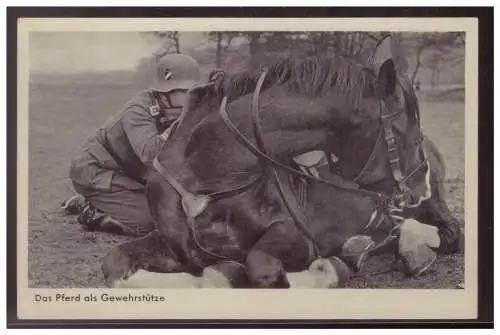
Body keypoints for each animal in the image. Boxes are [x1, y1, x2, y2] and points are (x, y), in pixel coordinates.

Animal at [102, 54, 464, 288]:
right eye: (408, 134)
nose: (420, 184)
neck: (207, 177)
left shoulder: (294, 237)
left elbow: (257, 266)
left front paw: (328, 269)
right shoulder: (172, 244)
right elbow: (114, 263)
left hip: (432, 207)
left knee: (450, 235)